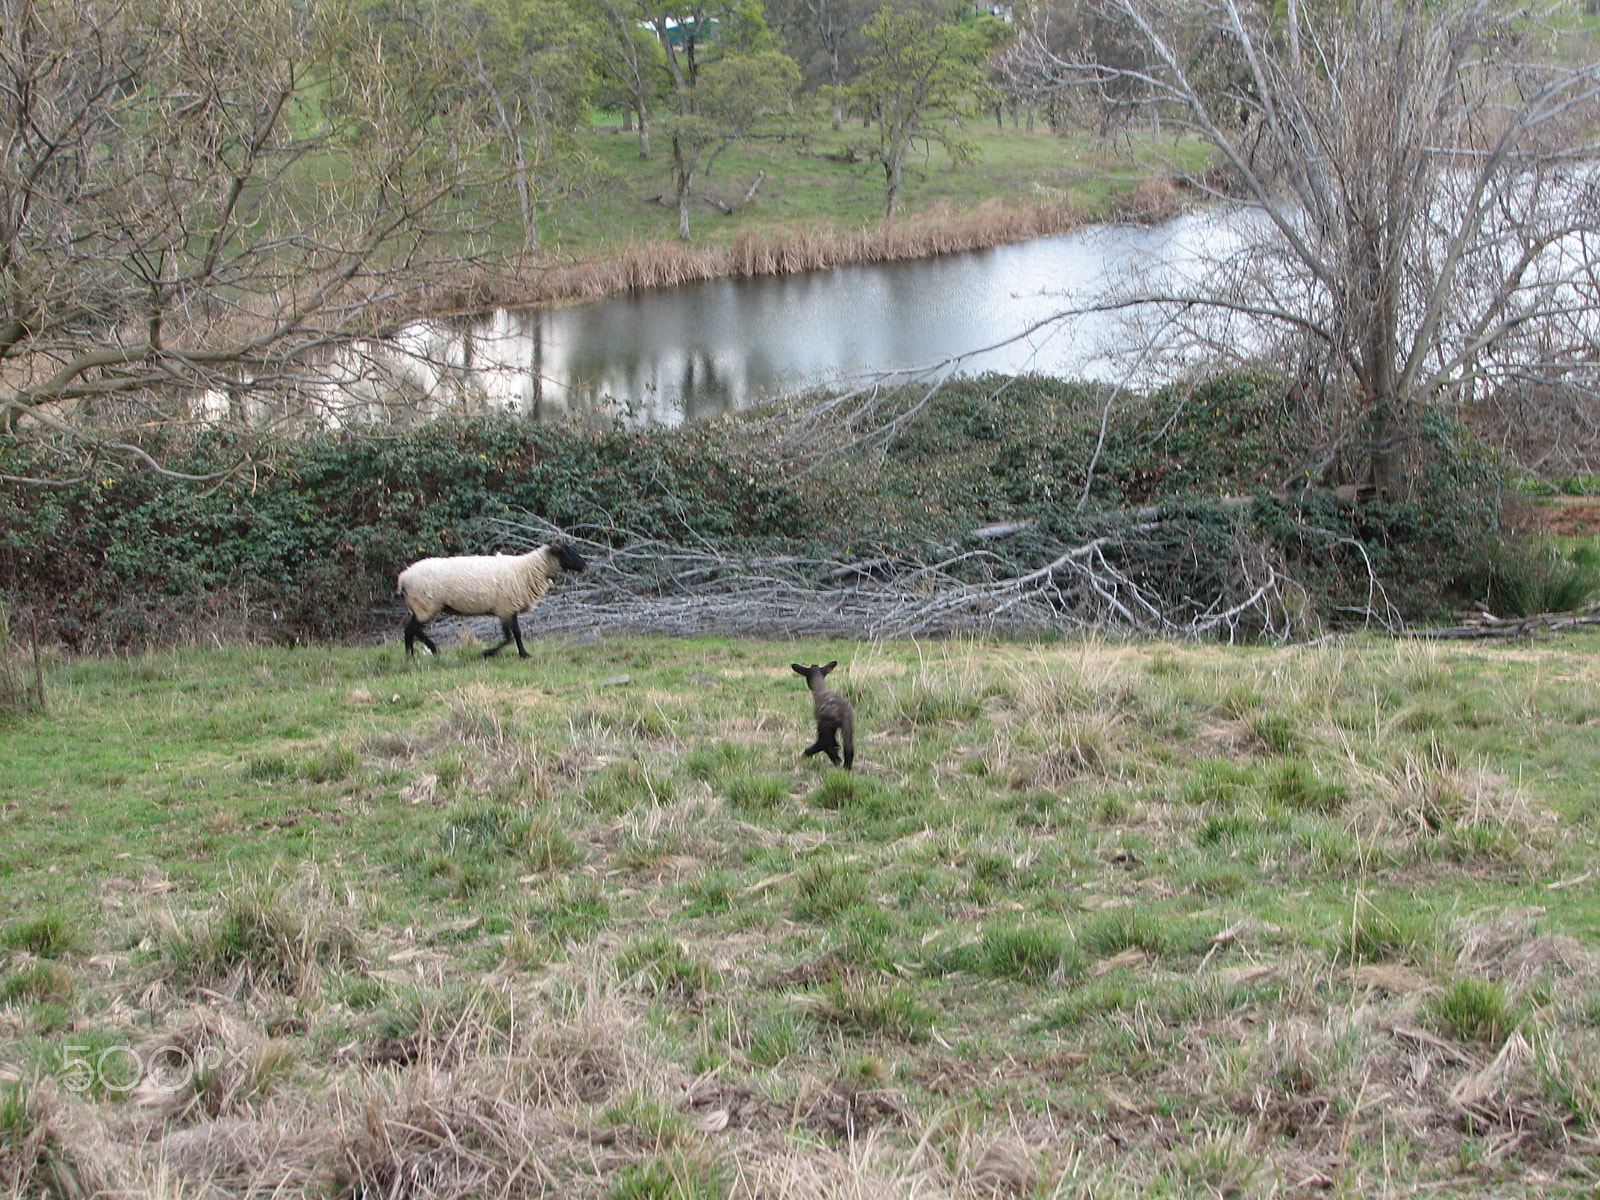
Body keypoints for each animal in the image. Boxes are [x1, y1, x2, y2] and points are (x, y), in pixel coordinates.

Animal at [395, 544, 588, 662]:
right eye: (566, 551)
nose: (585, 565)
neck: (529, 569)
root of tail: (403, 577)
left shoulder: (509, 608)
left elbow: (515, 634)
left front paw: (523, 653)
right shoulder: (505, 608)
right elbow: (511, 635)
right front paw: (491, 652)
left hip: (423, 606)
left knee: (413, 630)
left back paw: (419, 653)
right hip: (425, 605)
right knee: (410, 630)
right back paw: (417, 654)